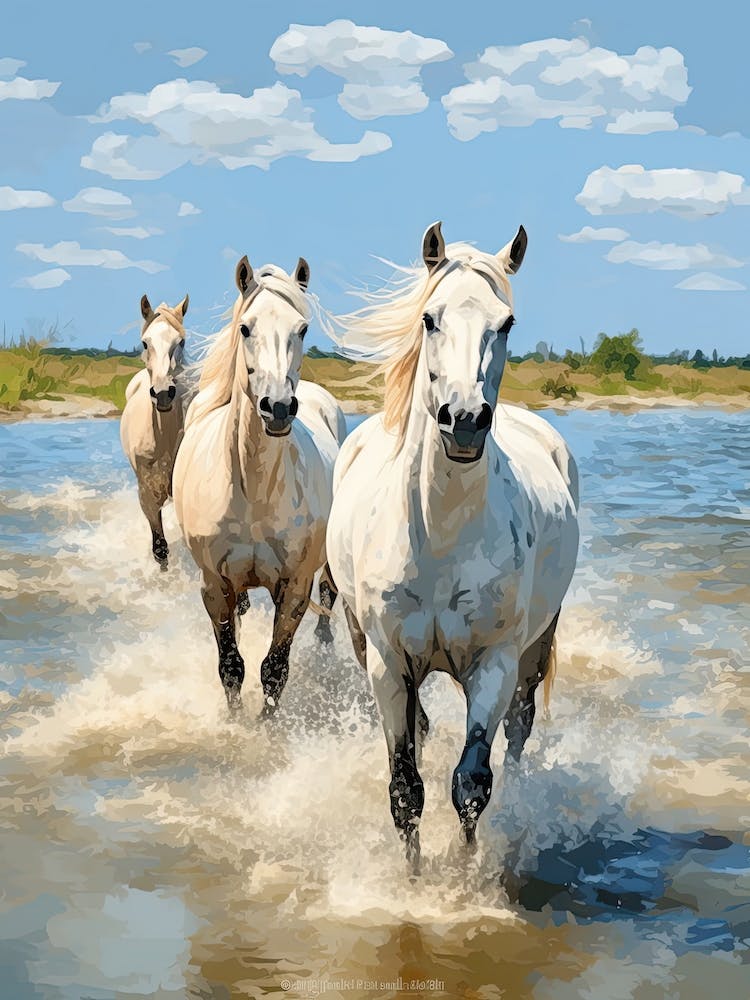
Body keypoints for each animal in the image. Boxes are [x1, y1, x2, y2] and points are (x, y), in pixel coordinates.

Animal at [172, 255, 346, 713]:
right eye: (245, 328)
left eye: (302, 328)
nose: (279, 407)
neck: (253, 489)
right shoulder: (215, 585)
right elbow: (231, 666)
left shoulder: (295, 587)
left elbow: (274, 671)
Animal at [326, 222, 579, 872]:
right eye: (429, 318)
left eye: (507, 322)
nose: (463, 420)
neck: (438, 533)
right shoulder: (388, 662)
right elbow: (405, 788)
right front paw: (413, 879)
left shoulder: (493, 662)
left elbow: (471, 784)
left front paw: (464, 878)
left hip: (535, 645)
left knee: (517, 731)